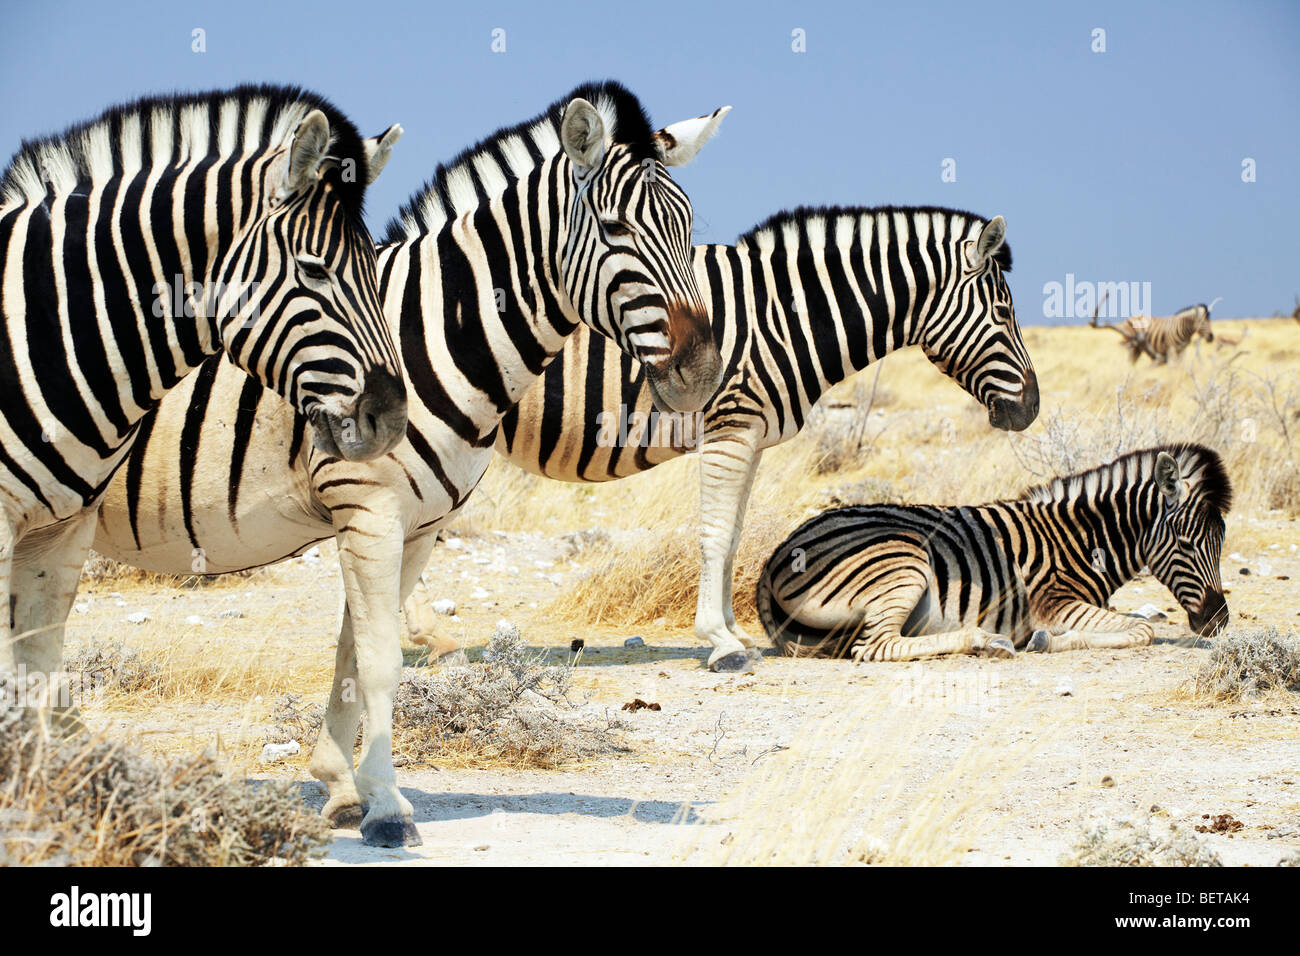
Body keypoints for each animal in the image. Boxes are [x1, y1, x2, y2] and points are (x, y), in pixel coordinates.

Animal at [0, 85, 406, 729]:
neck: (45, 324)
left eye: (375, 266)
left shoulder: (58, 530)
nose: (391, 420)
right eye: (314, 270)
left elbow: (36, 677)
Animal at [91, 81, 728, 846]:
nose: (701, 373)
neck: (438, 336)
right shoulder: (367, 507)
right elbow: (381, 660)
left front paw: (343, 786)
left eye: (688, 225)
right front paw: (387, 809)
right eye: (612, 229)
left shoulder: (418, 526)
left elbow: (352, 655)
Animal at [488, 205, 1040, 670]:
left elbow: (733, 534)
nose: (1032, 408)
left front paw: (735, 632)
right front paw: (720, 642)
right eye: (1003, 312)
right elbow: (714, 534)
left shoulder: (750, 436)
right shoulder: (728, 429)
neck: (775, 318)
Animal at [755, 444, 1231, 661]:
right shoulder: (1053, 602)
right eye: (1185, 543)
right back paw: (985, 640)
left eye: (1221, 542)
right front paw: (1047, 641)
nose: (1219, 622)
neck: (1081, 538)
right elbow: (1142, 629)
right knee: (877, 646)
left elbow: (1138, 623)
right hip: (902, 562)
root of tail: (774, 559)